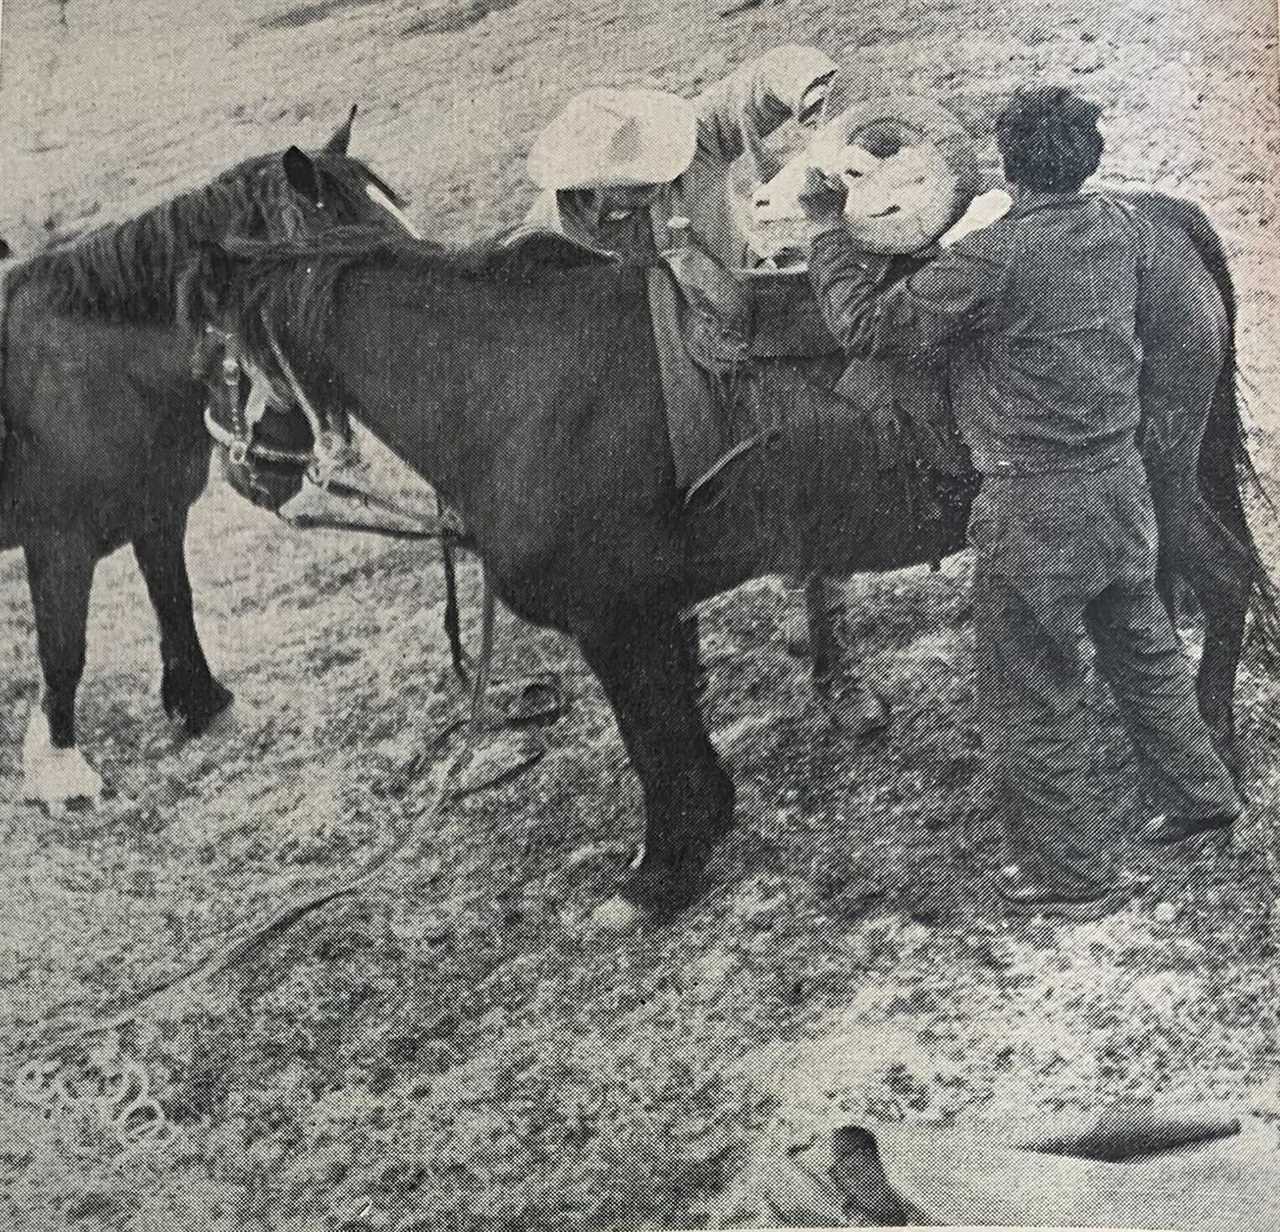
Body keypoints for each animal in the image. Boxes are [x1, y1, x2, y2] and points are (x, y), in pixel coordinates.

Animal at [0, 112, 409, 809]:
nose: (273, 474)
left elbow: (176, 602)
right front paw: (60, 768)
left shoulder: (158, 514)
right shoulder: (58, 541)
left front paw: (201, 704)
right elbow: (64, 647)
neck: (89, 371)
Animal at [186, 163, 1269, 927]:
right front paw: (700, 832)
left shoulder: (613, 621)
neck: (515, 383)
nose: (246, 474)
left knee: (1221, 583)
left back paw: (1211, 748)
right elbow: (677, 727)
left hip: (1162, 478)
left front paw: (660, 872)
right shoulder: (648, 617)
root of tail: (1152, 219)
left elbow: (652, 740)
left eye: (205, 348)